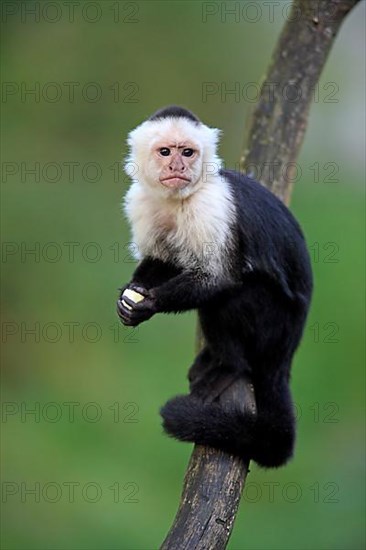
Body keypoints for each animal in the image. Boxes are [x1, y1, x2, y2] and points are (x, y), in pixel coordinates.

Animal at [116, 105, 312, 468]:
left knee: (228, 300)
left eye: (187, 152)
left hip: (274, 324)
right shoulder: (141, 201)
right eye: (165, 152)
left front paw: (149, 304)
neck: (179, 199)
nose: (177, 166)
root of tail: (288, 348)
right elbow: (164, 259)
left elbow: (218, 278)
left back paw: (229, 366)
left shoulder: (211, 206)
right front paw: (129, 297)